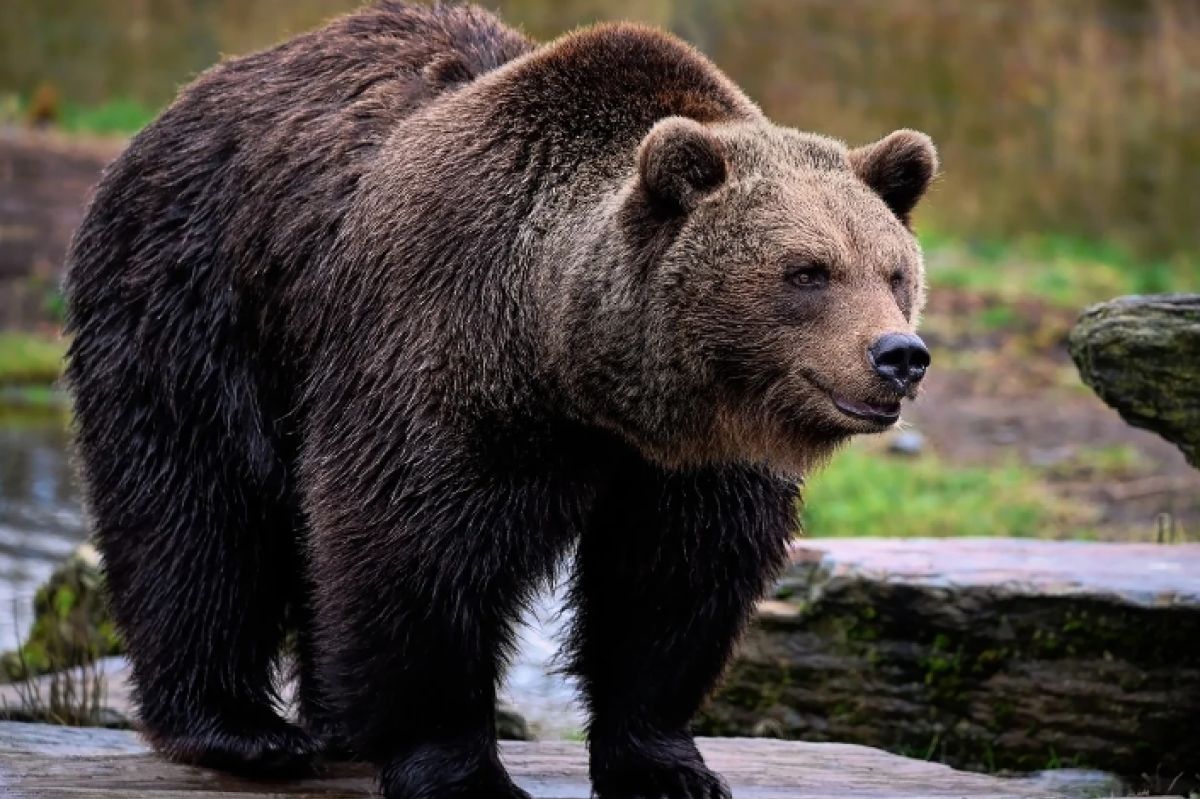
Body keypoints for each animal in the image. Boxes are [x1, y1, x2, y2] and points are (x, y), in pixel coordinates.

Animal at [63, 1, 936, 796]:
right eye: (807, 271)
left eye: (894, 271)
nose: (899, 356)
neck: (579, 372)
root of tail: (193, 95)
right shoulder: (444, 356)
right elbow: (412, 549)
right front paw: (459, 769)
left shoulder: (692, 462)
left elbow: (672, 583)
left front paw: (668, 764)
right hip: (200, 296)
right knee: (197, 507)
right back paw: (242, 729)